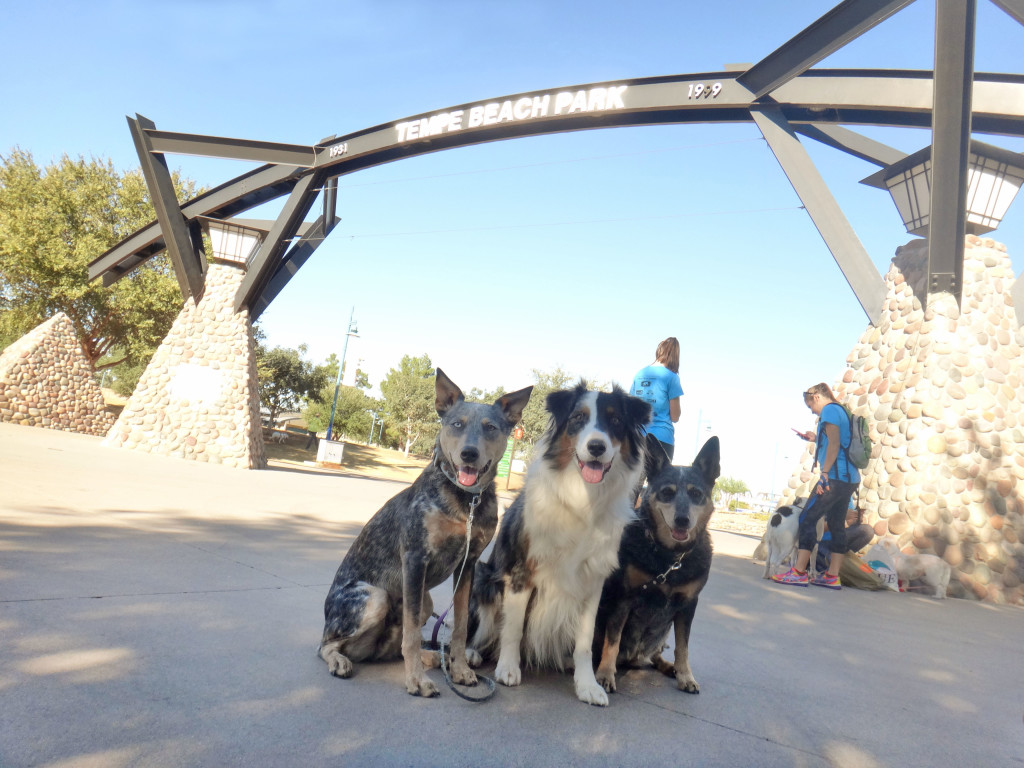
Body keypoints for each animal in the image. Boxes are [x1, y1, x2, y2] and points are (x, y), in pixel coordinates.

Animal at [317, 370, 528, 700]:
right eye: (456, 424)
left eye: (491, 427)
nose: (469, 454)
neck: (466, 501)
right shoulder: (416, 559)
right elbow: (414, 634)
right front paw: (416, 680)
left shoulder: (468, 564)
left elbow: (459, 627)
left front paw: (460, 670)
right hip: (376, 596)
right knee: (327, 644)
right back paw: (341, 659)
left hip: (425, 601)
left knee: (396, 643)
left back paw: (435, 658)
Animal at [468, 382, 651, 708]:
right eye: (578, 417)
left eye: (616, 421)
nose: (596, 447)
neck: (582, 499)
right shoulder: (521, 571)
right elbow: (513, 627)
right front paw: (508, 668)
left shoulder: (593, 580)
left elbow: (585, 642)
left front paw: (587, 684)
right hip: (482, 576)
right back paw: (471, 654)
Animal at [593, 436, 720, 696]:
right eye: (666, 492)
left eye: (696, 493)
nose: (682, 520)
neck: (670, 559)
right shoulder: (625, 597)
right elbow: (613, 640)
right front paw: (605, 674)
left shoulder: (688, 604)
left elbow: (683, 646)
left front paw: (685, 675)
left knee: (655, 653)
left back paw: (668, 666)